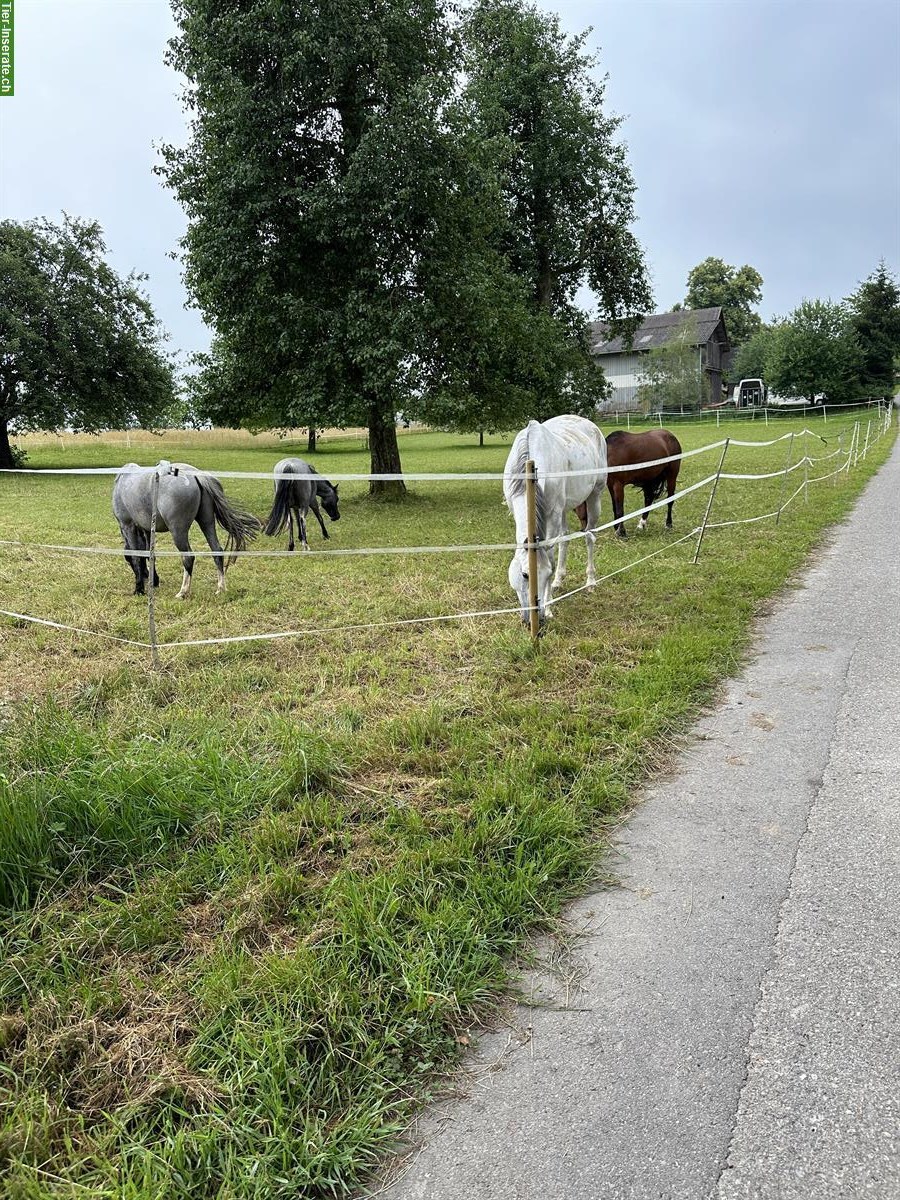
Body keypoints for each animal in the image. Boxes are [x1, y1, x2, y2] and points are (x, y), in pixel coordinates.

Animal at [112, 463, 260, 604]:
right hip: (206, 523)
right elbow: (148, 554)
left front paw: (139, 589)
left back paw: (183, 592)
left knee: (188, 558)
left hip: (178, 532)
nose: (146, 577)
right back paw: (220, 588)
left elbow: (136, 556)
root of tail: (196, 475)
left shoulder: (128, 526)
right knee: (217, 551)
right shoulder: (147, 529)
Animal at [504, 415, 609, 628]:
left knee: (589, 537)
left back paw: (590, 582)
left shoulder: (552, 515)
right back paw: (559, 581)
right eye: (525, 575)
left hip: (594, 497)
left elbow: (551, 557)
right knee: (564, 538)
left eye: (545, 573)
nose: (535, 621)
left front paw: (549, 607)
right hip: (563, 510)